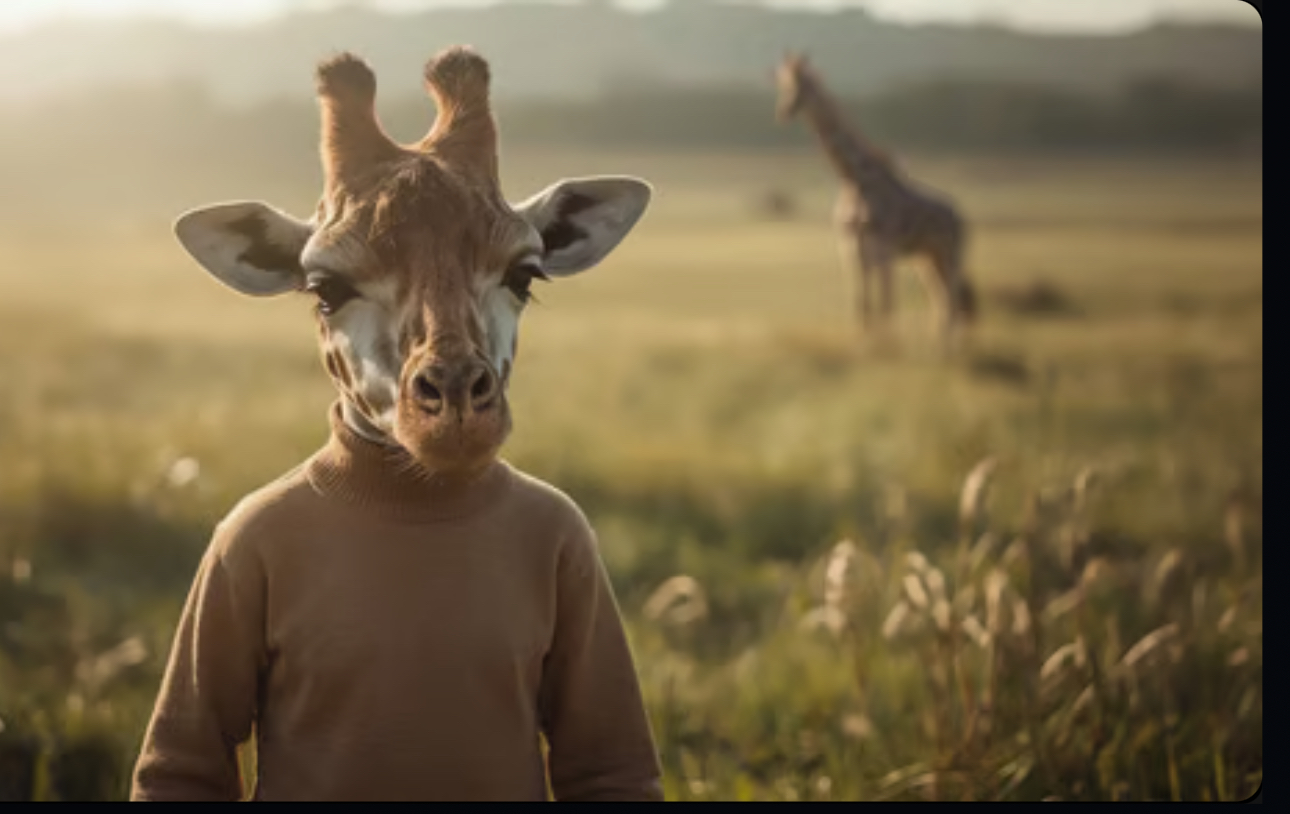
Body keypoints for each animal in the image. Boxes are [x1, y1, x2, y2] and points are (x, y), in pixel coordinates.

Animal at [775, 52, 977, 346]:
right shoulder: (851, 247)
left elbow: (885, 304)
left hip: (952, 254)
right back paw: (940, 347)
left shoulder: (883, 248)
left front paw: (887, 347)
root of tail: (961, 218)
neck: (855, 180)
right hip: (928, 258)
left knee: (951, 300)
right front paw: (866, 346)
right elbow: (862, 306)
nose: (784, 111)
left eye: (806, 86)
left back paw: (947, 349)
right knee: (942, 301)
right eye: (784, 85)